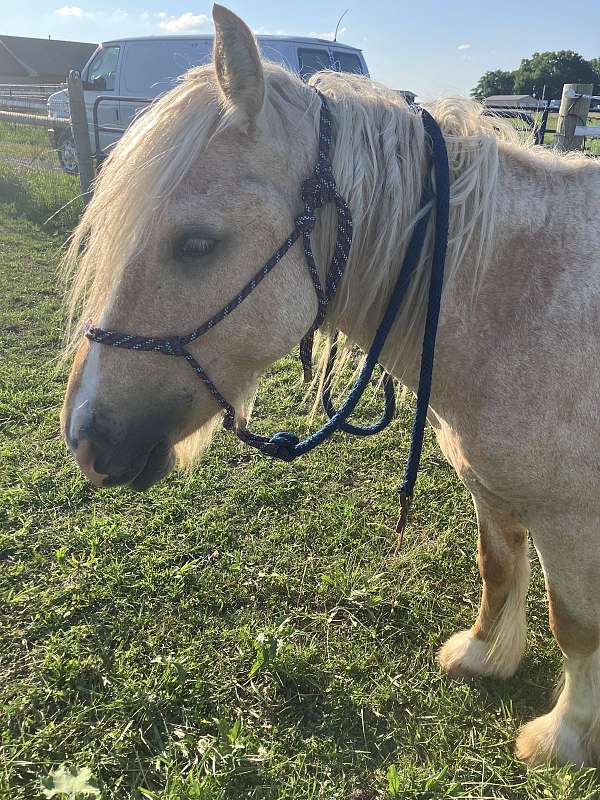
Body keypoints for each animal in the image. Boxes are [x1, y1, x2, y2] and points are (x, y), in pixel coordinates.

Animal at [61, 4, 600, 767]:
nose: (85, 439)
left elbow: (575, 626)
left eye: (197, 244)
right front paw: (481, 656)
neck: (516, 296)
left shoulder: (573, 520)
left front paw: (565, 736)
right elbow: (497, 571)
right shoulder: (492, 490)